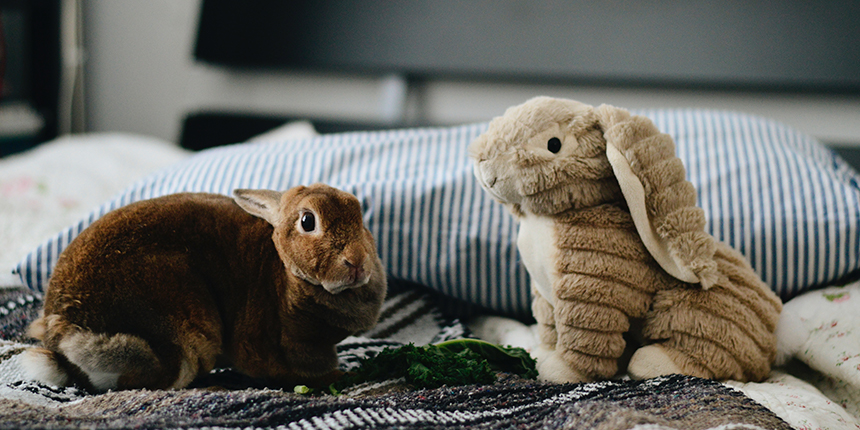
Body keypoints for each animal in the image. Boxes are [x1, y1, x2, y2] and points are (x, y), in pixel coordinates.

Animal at [21, 183, 384, 392]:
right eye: (308, 221)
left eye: (359, 215)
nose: (357, 262)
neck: (284, 270)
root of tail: (63, 331)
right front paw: (339, 378)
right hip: (182, 330)